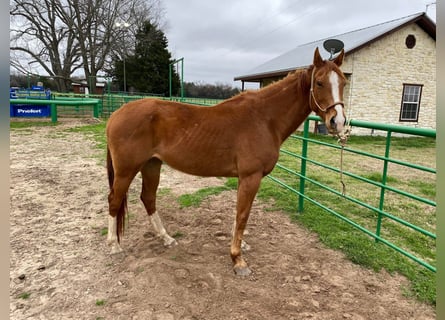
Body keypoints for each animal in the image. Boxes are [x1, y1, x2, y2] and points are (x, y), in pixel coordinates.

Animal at [106, 47, 346, 276]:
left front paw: (241, 246)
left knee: (148, 198)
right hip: (126, 170)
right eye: (319, 82)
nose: (338, 121)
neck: (264, 119)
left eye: (344, 82)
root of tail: (116, 114)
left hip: (151, 165)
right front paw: (238, 260)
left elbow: (239, 215)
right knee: (114, 200)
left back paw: (166, 238)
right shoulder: (251, 177)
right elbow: (243, 215)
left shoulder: (243, 178)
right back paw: (114, 246)